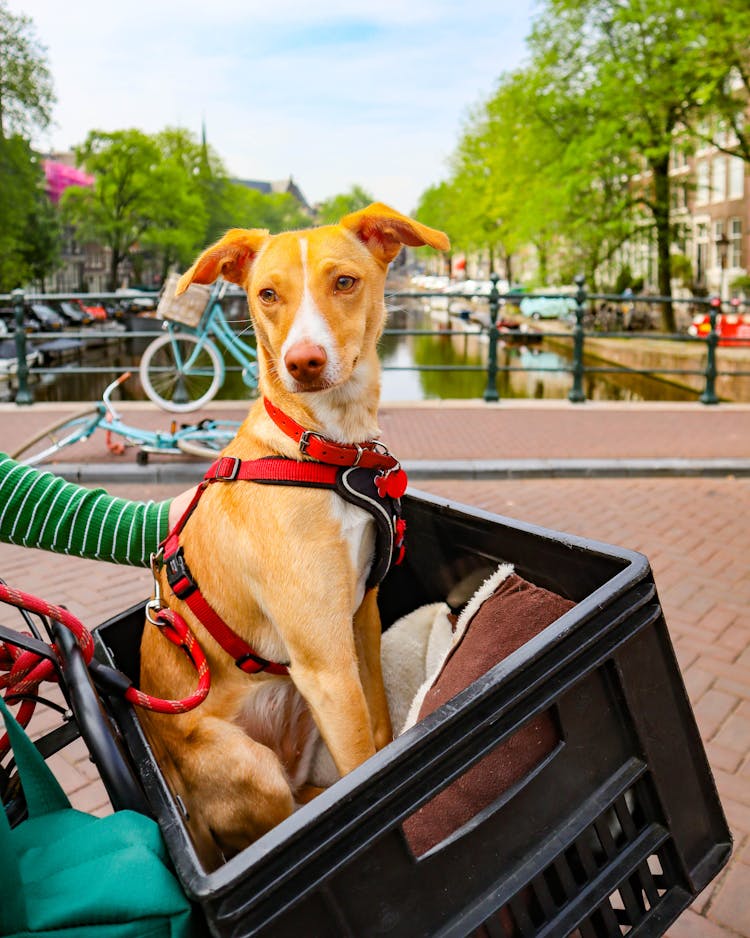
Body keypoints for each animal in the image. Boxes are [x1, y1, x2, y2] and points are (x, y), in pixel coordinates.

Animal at [139, 203, 450, 864]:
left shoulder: (359, 620)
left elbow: (380, 732)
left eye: (345, 282)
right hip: (253, 764)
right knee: (278, 825)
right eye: (267, 294)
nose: (303, 362)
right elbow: (362, 766)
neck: (326, 449)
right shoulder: (326, 661)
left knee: (307, 793)